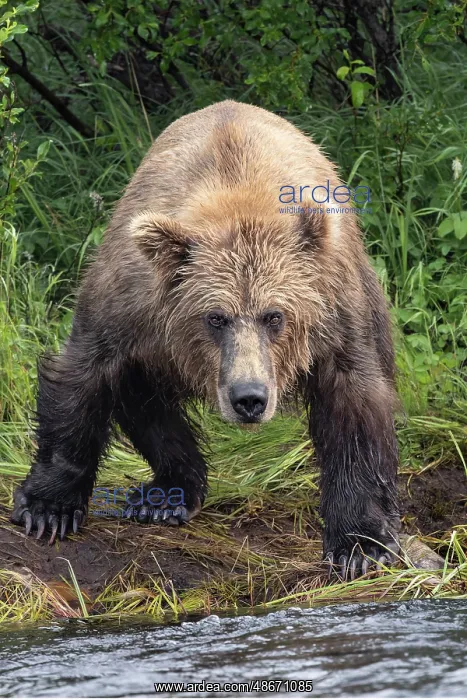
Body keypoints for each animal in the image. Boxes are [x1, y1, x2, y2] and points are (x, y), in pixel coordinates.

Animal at [11, 100, 400, 580]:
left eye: (275, 316)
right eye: (215, 317)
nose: (249, 398)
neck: (236, 195)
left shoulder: (334, 313)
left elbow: (355, 404)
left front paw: (359, 544)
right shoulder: (129, 302)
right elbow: (83, 375)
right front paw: (47, 507)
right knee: (143, 396)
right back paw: (167, 494)